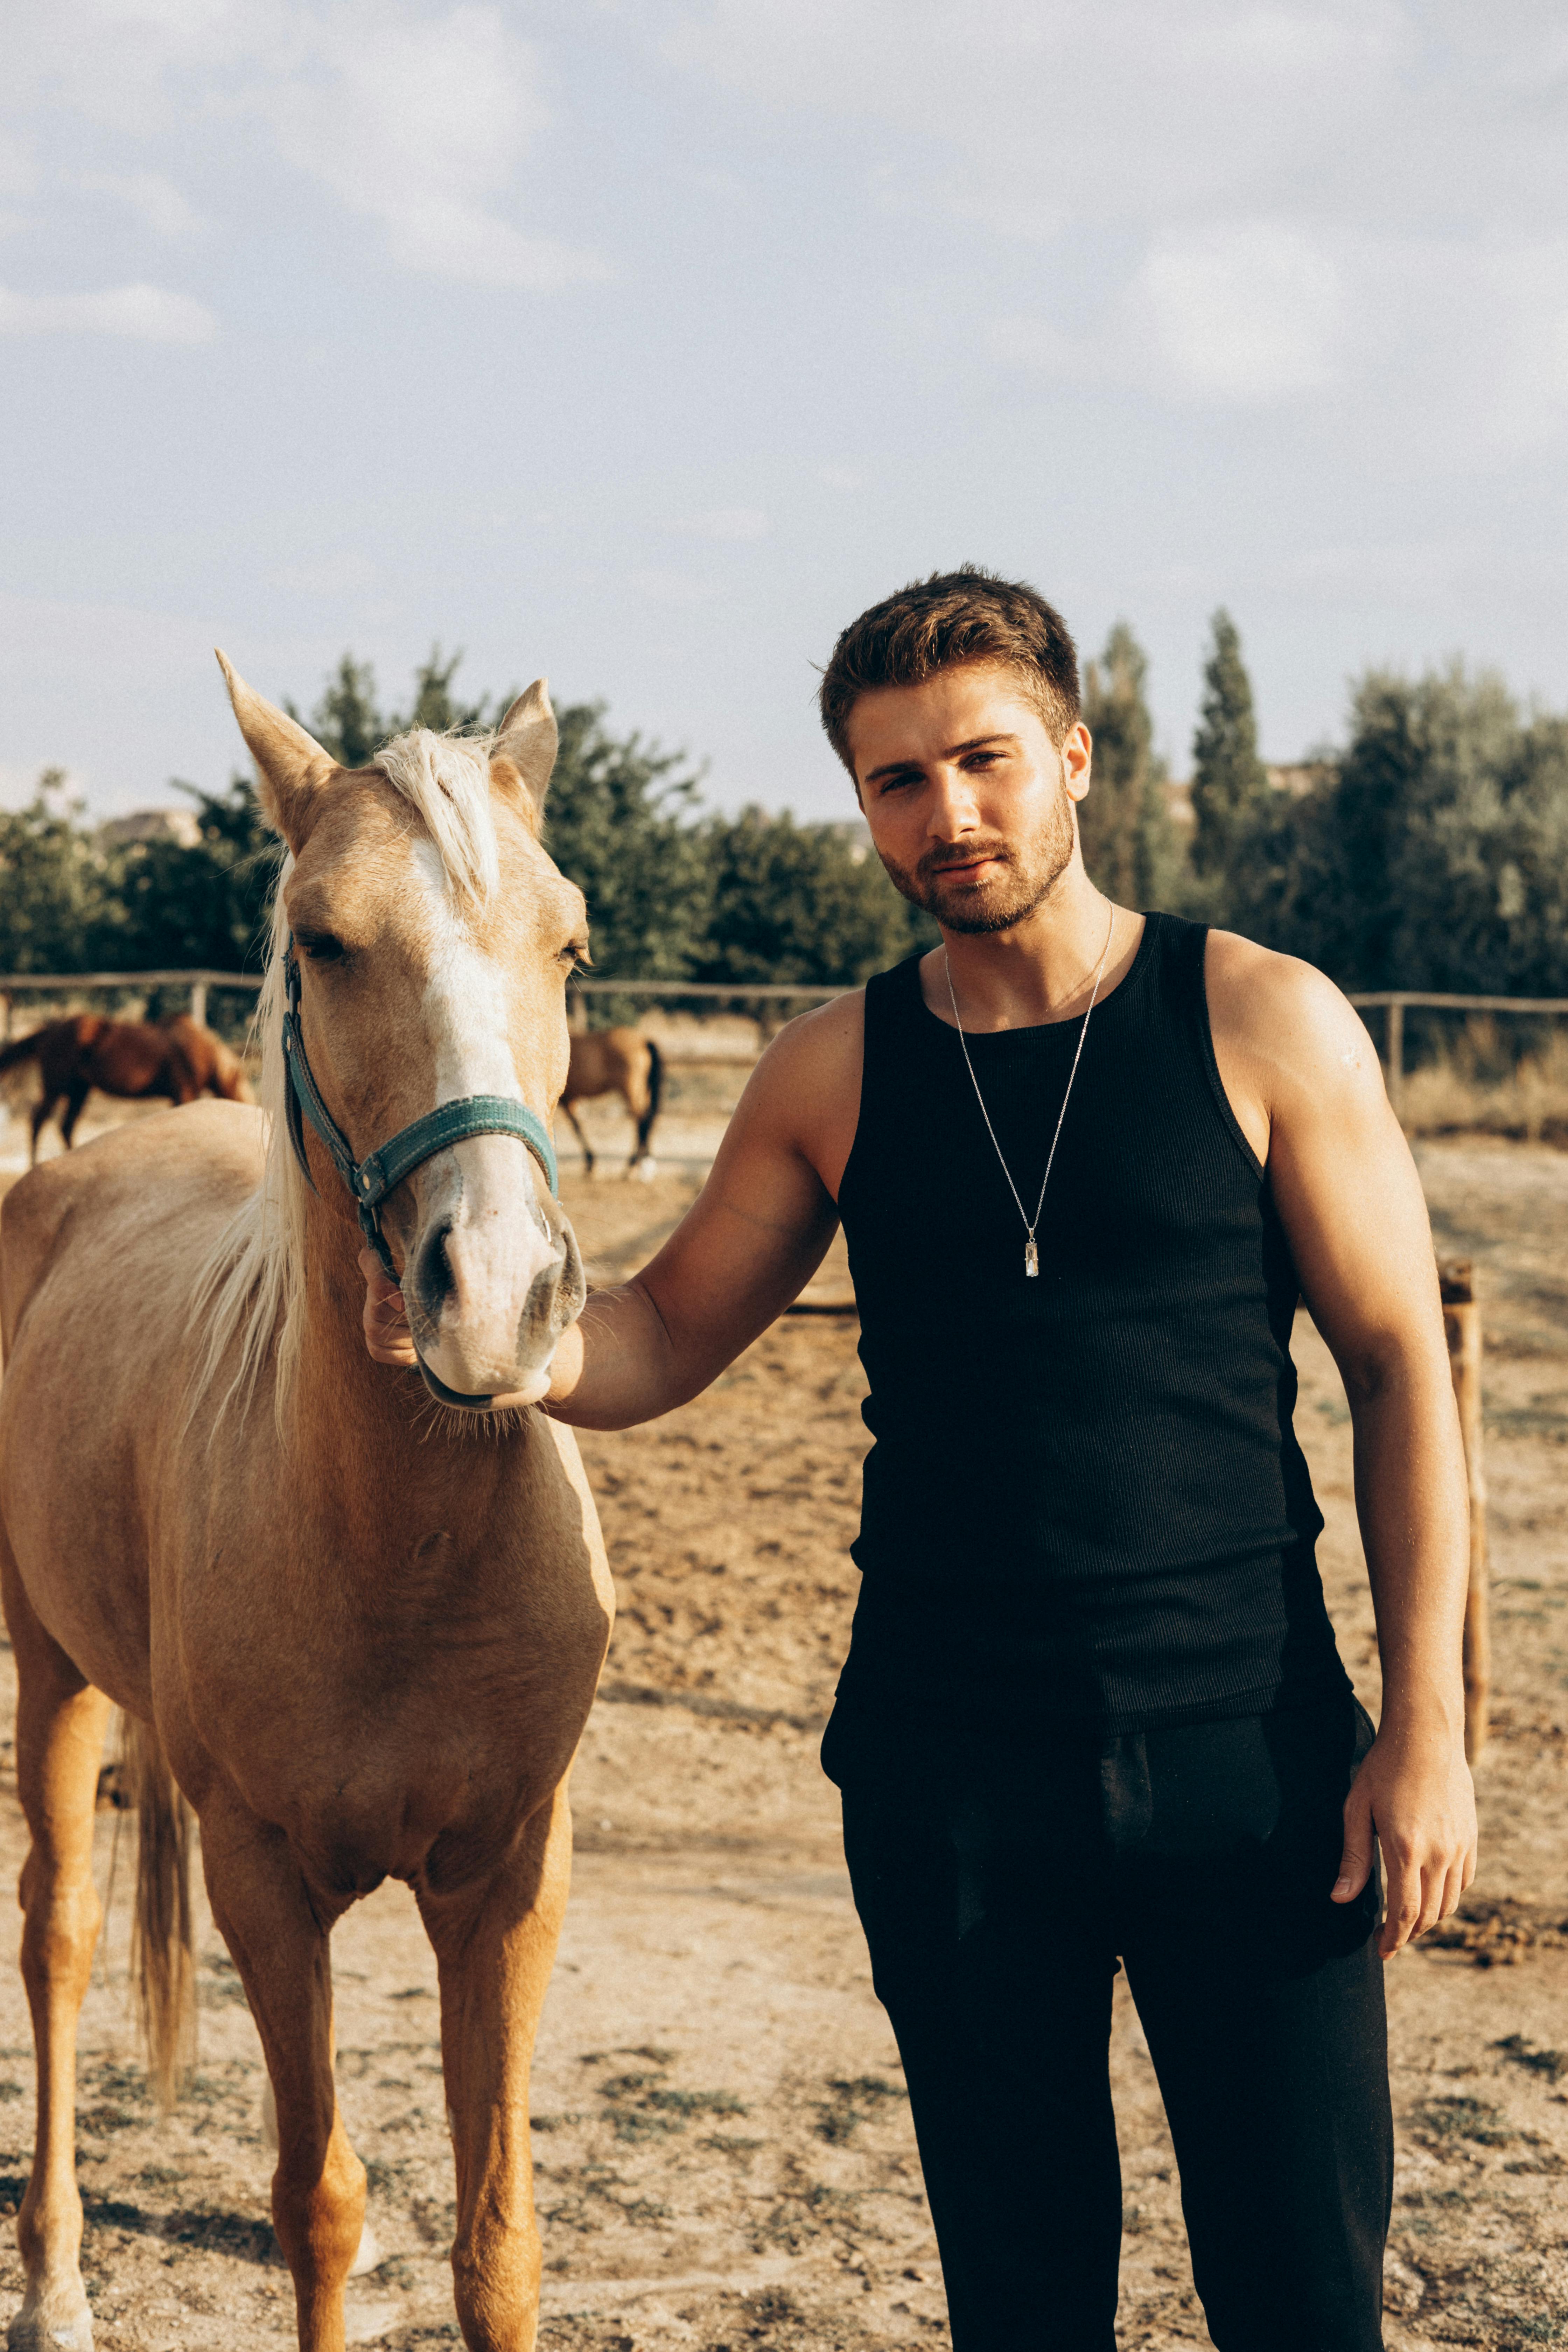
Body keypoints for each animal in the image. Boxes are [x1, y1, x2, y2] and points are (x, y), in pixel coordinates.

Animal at [0, 1007, 250, 1162]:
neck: (200, 1050)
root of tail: (50, 1031)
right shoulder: (184, 1093)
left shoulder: (178, 1096)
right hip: (56, 1087)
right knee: (38, 1121)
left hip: (79, 1091)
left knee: (66, 1127)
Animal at [557, 1030, 663, 1176]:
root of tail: (643, 1042)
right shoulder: (570, 1100)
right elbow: (577, 1126)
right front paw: (591, 1162)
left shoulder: (565, 1099)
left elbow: (576, 1127)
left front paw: (591, 1162)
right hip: (643, 1093)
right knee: (647, 1121)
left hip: (631, 1092)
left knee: (641, 1121)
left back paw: (634, 1164)